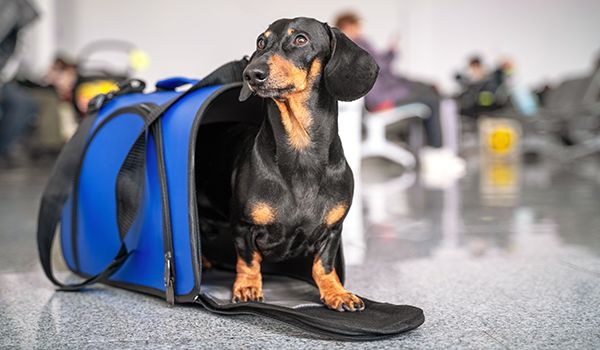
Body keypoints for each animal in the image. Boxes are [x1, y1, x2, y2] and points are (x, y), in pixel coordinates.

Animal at [199, 17, 378, 312]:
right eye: (261, 41)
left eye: (301, 40)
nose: (251, 74)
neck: (300, 150)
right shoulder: (242, 226)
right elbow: (248, 260)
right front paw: (248, 287)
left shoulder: (332, 231)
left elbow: (323, 266)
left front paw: (336, 292)